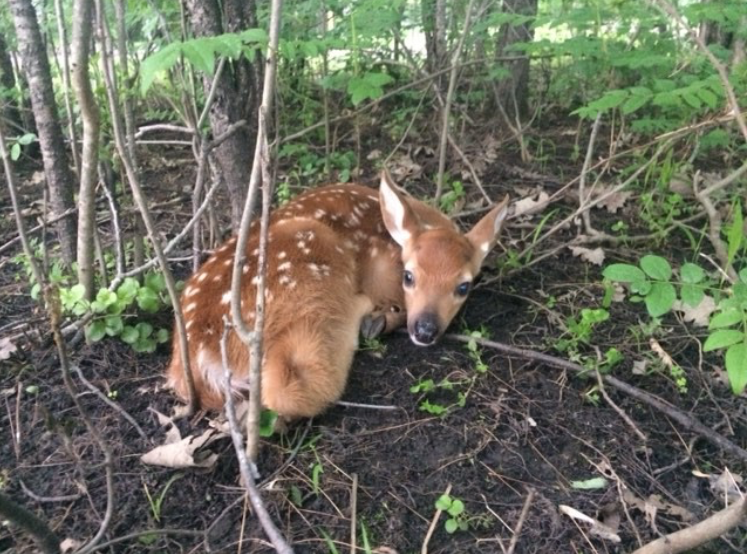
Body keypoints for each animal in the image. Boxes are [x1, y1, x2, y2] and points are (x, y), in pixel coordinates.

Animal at [167, 171, 509, 419]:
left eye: (463, 286)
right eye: (409, 275)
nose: (425, 329)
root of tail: (204, 359)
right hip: (314, 276)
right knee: (295, 389)